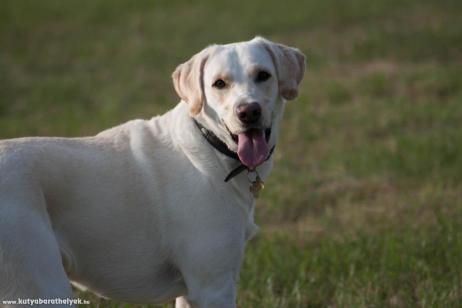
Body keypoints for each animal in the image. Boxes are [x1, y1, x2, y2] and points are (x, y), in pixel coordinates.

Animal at [0, 37, 304, 306]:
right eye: (219, 83)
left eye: (263, 75)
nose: (248, 111)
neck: (211, 146)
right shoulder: (213, 287)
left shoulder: (192, 291)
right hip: (41, 284)